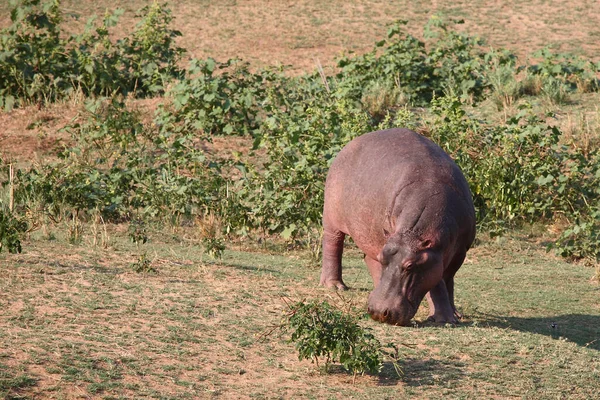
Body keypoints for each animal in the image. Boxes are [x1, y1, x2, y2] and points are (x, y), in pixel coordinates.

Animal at [322, 128, 476, 324]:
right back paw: (335, 286)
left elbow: (446, 280)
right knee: (333, 245)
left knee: (368, 259)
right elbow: (438, 282)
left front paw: (453, 316)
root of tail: (349, 144)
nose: (378, 311)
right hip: (332, 218)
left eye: (409, 266)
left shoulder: (459, 251)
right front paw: (445, 318)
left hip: (372, 233)